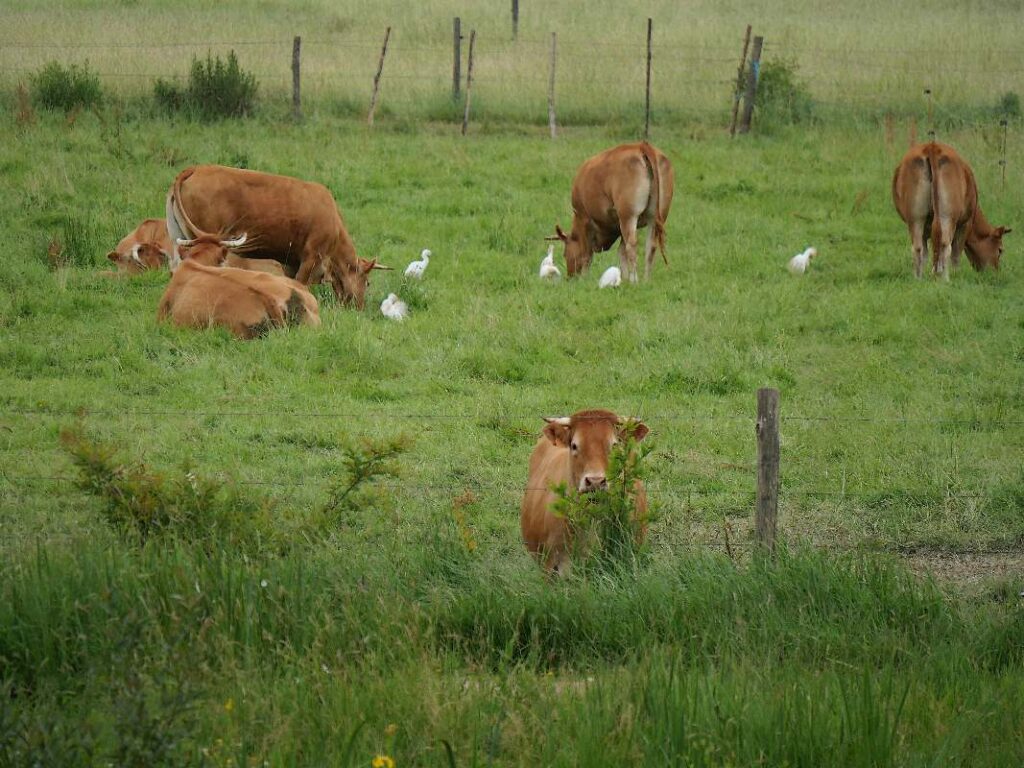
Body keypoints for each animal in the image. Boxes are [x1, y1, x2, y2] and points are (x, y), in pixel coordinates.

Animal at [166, 165, 390, 309]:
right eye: (367, 283)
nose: (359, 308)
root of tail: (197, 169)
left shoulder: (290, 262)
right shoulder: (311, 257)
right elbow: (301, 284)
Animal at [549, 142, 674, 282]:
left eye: (565, 254)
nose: (570, 277)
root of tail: (642, 146)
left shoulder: (584, 217)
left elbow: (587, 254)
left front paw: (584, 278)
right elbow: (621, 251)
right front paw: (624, 278)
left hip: (628, 216)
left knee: (632, 245)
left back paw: (635, 280)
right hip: (654, 218)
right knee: (650, 246)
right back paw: (646, 281)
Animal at [892, 141, 1011, 279]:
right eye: (1000, 250)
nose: (995, 273)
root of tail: (931, 147)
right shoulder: (965, 224)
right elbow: (956, 253)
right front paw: (954, 274)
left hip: (916, 218)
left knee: (918, 248)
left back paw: (919, 278)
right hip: (947, 216)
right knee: (945, 245)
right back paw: (946, 278)